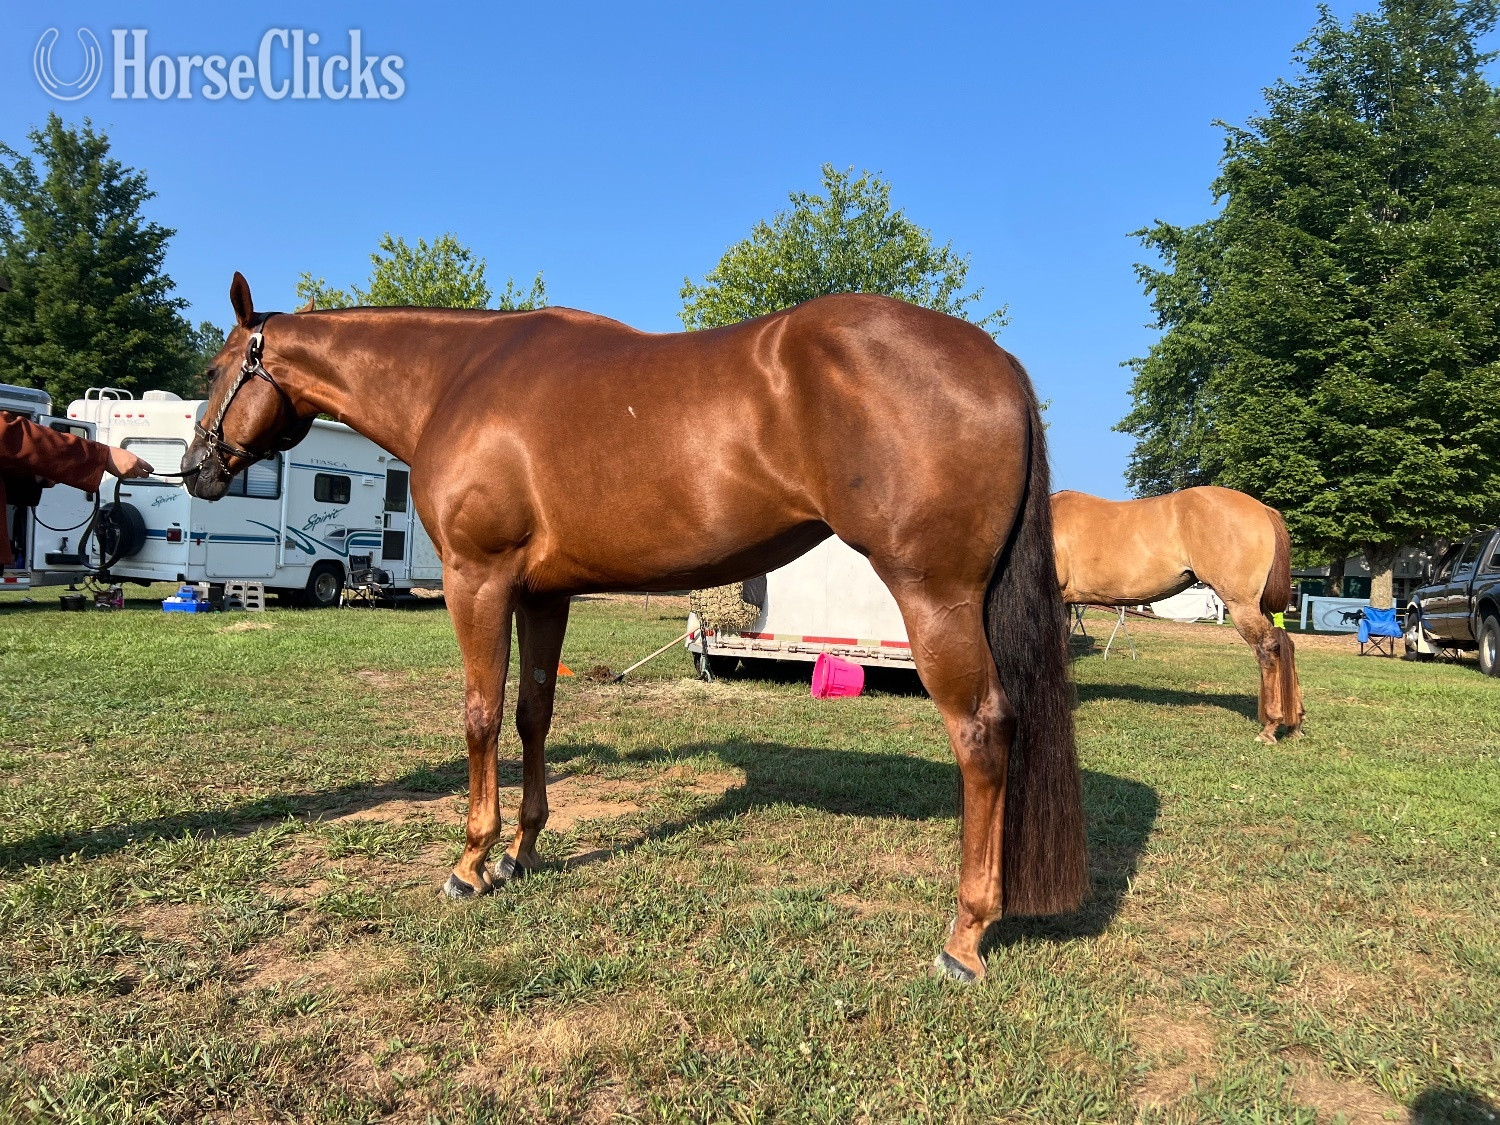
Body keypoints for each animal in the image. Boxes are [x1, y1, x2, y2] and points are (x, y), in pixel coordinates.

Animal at [182, 273, 1088, 983]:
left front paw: (471, 863)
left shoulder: (479, 581)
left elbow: (480, 716)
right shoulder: (542, 593)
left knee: (983, 731)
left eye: (216, 369)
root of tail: (997, 364)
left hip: (935, 598)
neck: (456, 381)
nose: (196, 470)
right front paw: (522, 851)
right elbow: (533, 713)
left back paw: (964, 935)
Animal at [1051, 487, 1305, 743]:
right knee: (1286, 644)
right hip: (1258, 606)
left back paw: (1270, 727)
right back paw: (1295, 724)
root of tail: (1262, 509)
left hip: (1242, 604)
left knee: (1268, 648)